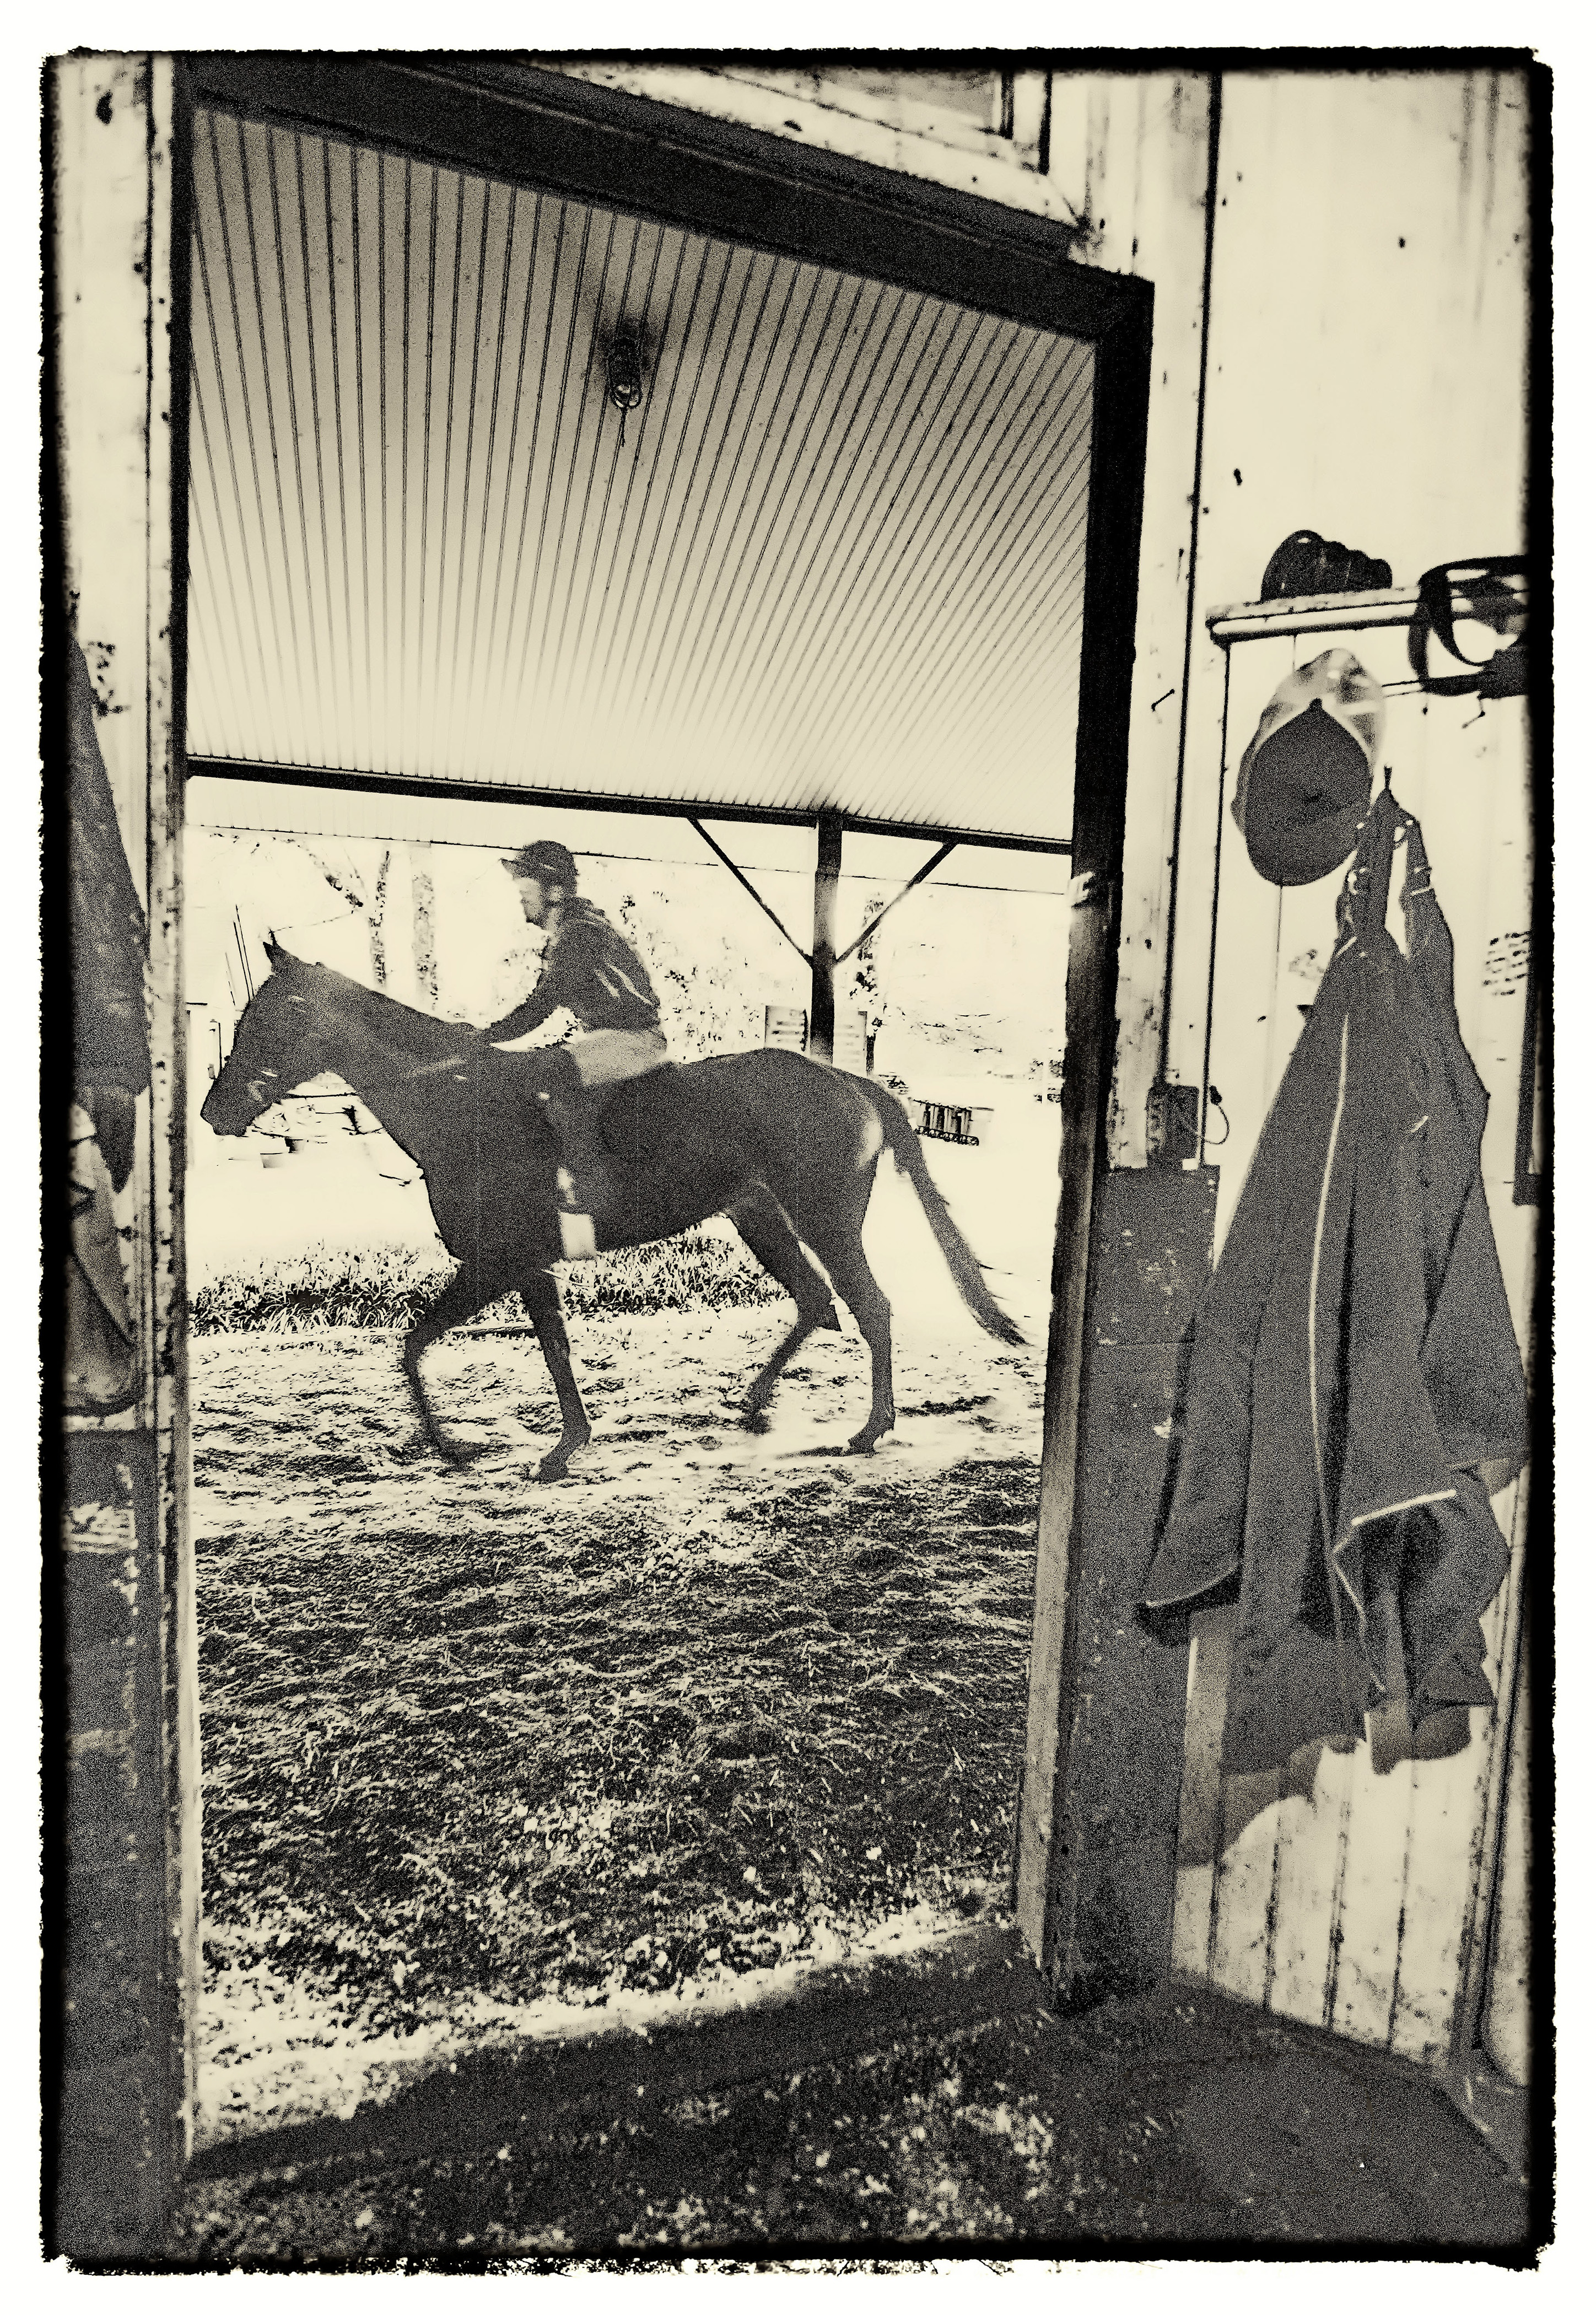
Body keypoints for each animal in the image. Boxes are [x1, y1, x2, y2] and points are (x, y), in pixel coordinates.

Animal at [198, 944, 1017, 1472]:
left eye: (270, 1016)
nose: (214, 1111)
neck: (463, 1106)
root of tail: (851, 1081)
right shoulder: (524, 1268)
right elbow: (531, 1349)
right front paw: (549, 1441)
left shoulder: (501, 1262)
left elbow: (423, 1343)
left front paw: (473, 1446)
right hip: (761, 1219)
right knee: (818, 1303)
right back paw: (754, 1404)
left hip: (826, 1220)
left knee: (870, 1307)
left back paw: (869, 1429)